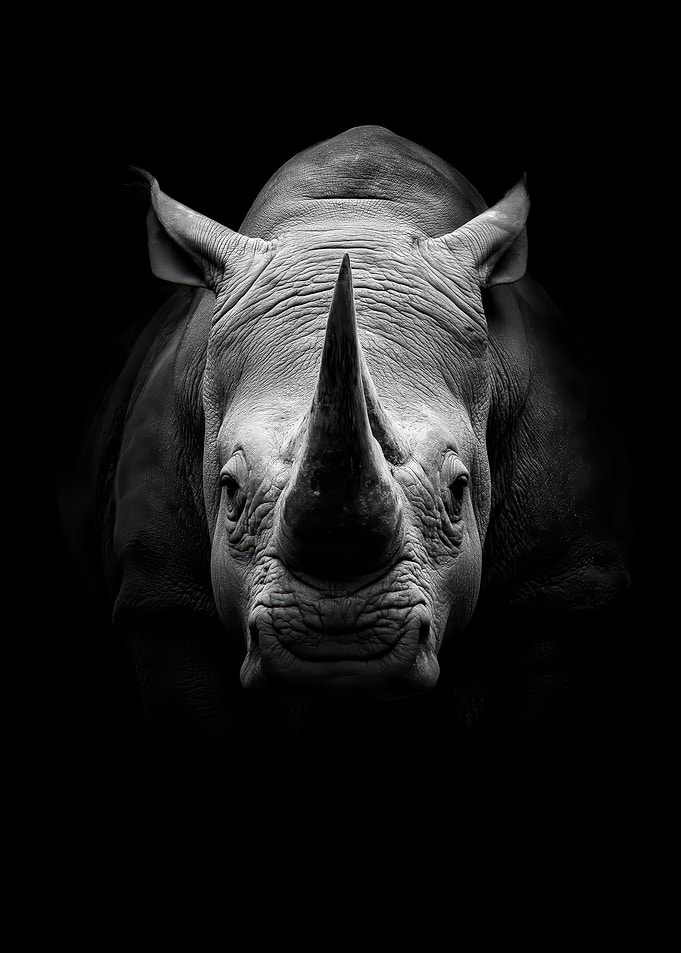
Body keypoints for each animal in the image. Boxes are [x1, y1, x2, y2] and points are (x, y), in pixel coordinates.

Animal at [62, 126, 628, 781]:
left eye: (458, 491)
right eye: (229, 490)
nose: (338, 643)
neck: (353, 215)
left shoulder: (557, 594)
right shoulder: (163, 601)